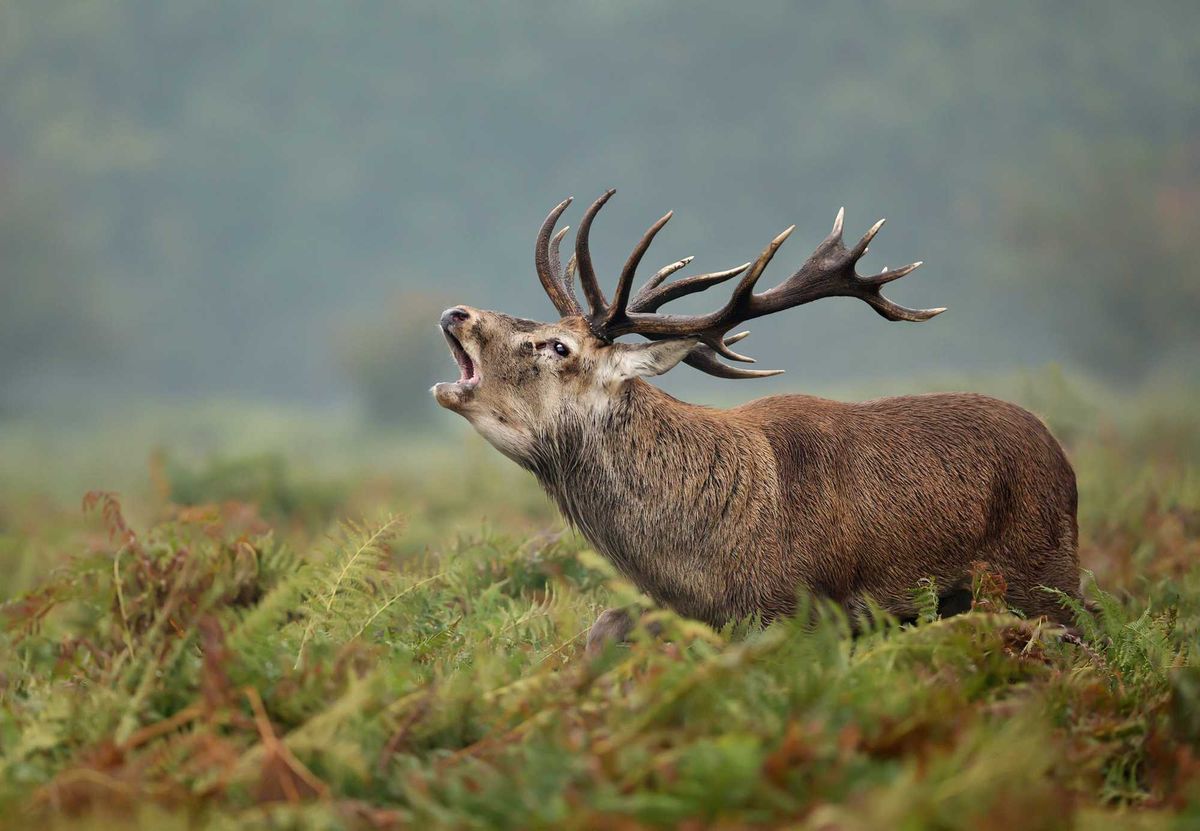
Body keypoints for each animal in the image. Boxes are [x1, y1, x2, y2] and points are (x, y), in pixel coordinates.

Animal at [432, 190, 1079, 652]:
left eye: (558, 346)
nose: (457, 312)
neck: (702, 562)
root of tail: (1063, 459)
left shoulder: (803, 610)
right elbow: (602, 628)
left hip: (1043, 572)